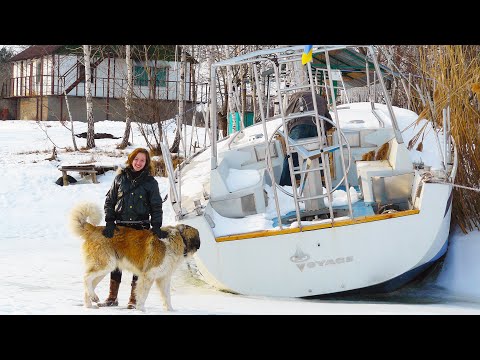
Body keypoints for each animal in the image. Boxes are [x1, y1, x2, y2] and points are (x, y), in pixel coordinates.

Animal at [68, 201, 200, 310]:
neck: (179, 239)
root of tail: (95, 228)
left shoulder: (164, 278)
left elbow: (167, 297)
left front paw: (170, 311)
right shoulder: (148, 275)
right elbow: (143, 295)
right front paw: (141, 310)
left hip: (104, 269)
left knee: (89, 284)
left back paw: (90, 304)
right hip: (105, 264)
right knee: (86, 277)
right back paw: (93, 298)